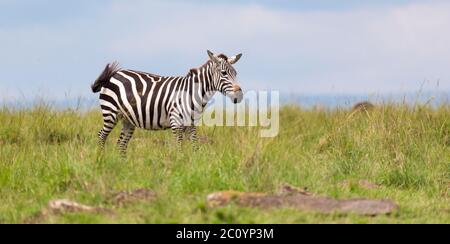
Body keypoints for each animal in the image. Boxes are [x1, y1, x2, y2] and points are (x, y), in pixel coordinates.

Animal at [91, 50, 244, 155]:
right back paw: (101, 160)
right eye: (224, 73)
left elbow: (195, 145)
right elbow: (179, 146)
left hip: (127, 120)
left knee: (121, 144)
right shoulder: (176, 122)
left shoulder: (191, 124)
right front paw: (180, 166)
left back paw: (124, 166)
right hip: (110, 113)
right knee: (101, 136)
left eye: (235, 73)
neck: (193, 93)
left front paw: (193, 166)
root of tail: (113, 75)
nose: (240, 96)